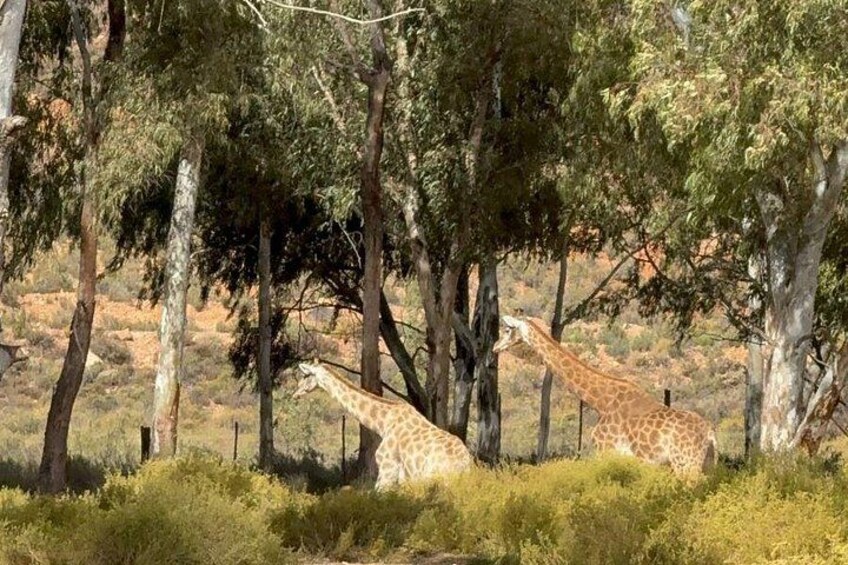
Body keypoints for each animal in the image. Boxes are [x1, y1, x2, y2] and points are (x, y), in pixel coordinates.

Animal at [493, 315, 716, 475]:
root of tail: (710, 433)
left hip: (685, 462)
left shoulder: (606, 450)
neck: (600, 400)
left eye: (507, 329)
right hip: (707, 464)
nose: (495, 346)